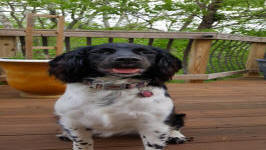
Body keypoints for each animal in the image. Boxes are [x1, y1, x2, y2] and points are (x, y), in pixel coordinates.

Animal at [48, 42, 189, 149]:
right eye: (104, 51)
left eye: (144, 51)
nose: (127, 59)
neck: (115, 87)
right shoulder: (73, 121)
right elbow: (81, 143)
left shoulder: (155, 125)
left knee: (176, 123)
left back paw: (176, 136)